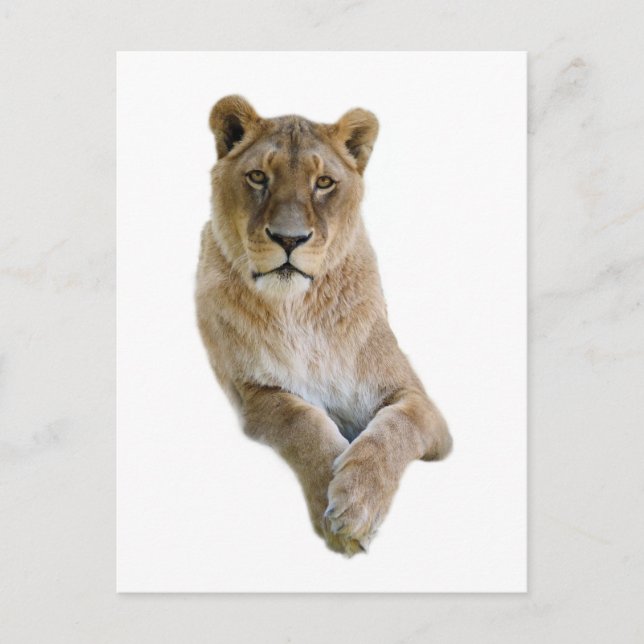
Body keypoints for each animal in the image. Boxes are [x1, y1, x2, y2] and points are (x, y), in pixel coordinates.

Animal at [195, 95, 452, 556]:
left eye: (324, 183)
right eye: (258, 176)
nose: (289, 238)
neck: (300, 310)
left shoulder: (419, 402)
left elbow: (394, 427)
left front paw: (356, 504)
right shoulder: (253, 394)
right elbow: (302, 420)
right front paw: (332, 497)